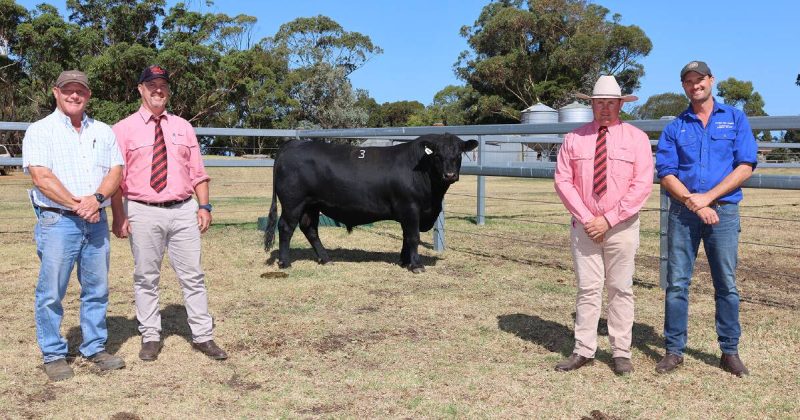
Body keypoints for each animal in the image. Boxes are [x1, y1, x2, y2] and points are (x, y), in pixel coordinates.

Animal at [263, 133, 478, 273]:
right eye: (437, 155)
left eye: (458, 154)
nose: (450, 174)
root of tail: (292, 144)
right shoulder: (410, 208)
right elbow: (413, 237)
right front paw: (416, 265)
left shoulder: (409, 213)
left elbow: (405, 237)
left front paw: (404, 261)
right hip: (293, 203)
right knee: (286, 227)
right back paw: (285, 263)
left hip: (311, 205)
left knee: (309, 229)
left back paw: (325, 259)